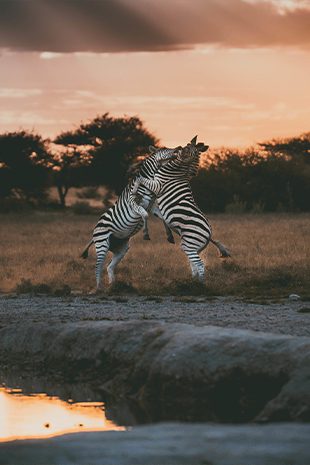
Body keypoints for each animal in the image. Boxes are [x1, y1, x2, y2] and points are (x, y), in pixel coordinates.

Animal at [81, 146, 180, 290]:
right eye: (164, 149)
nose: (179, 148)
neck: (147, 184)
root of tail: (95, 230)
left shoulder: (152, 206)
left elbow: (163, 218)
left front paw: (170, 236)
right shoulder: (135, 204)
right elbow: (144, 215)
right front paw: (146, 234)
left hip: (121, 249)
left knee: (109, 266)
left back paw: (114, 286)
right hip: (102, 244)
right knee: (98, 266)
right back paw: (99, 288)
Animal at [131, 134, 230, 280]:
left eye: (190, 151)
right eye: (186, 147)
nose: (181, 152)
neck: (178, 171)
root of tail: (209, 234)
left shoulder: (157, 184)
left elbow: (140, 179)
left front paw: (134, 188)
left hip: (190, 243)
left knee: (200, 264)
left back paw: (199, 284)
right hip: (191, 246)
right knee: (194, 263)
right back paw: (193, 281)